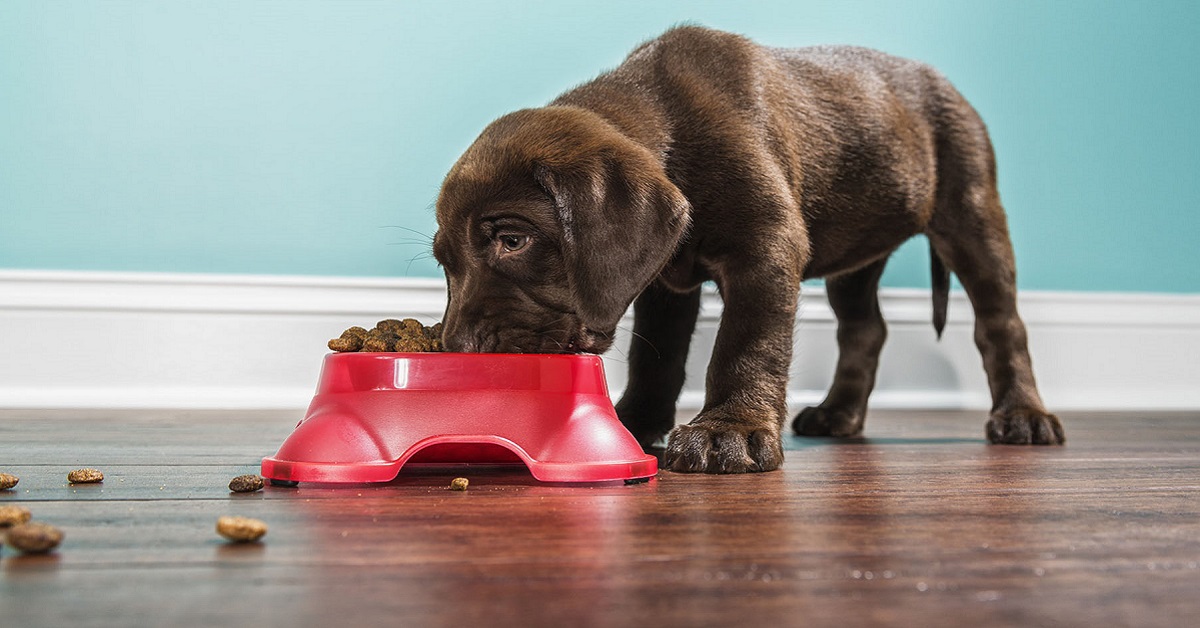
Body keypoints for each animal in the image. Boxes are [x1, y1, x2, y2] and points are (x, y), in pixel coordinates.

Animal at [429, 27, 1060, 475]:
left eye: (513, 240)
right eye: (445, 263)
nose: (456, 349)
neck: (670, 128)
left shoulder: (767, 247)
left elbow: (746, 342)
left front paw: (727, 431)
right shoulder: (664, 280)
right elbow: (657, 358)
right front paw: (636, 421)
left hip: (971, 212)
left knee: (1001, 323)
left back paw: (1023, 416)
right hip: (855, 258)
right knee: (865, 328)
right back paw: (839, 413)